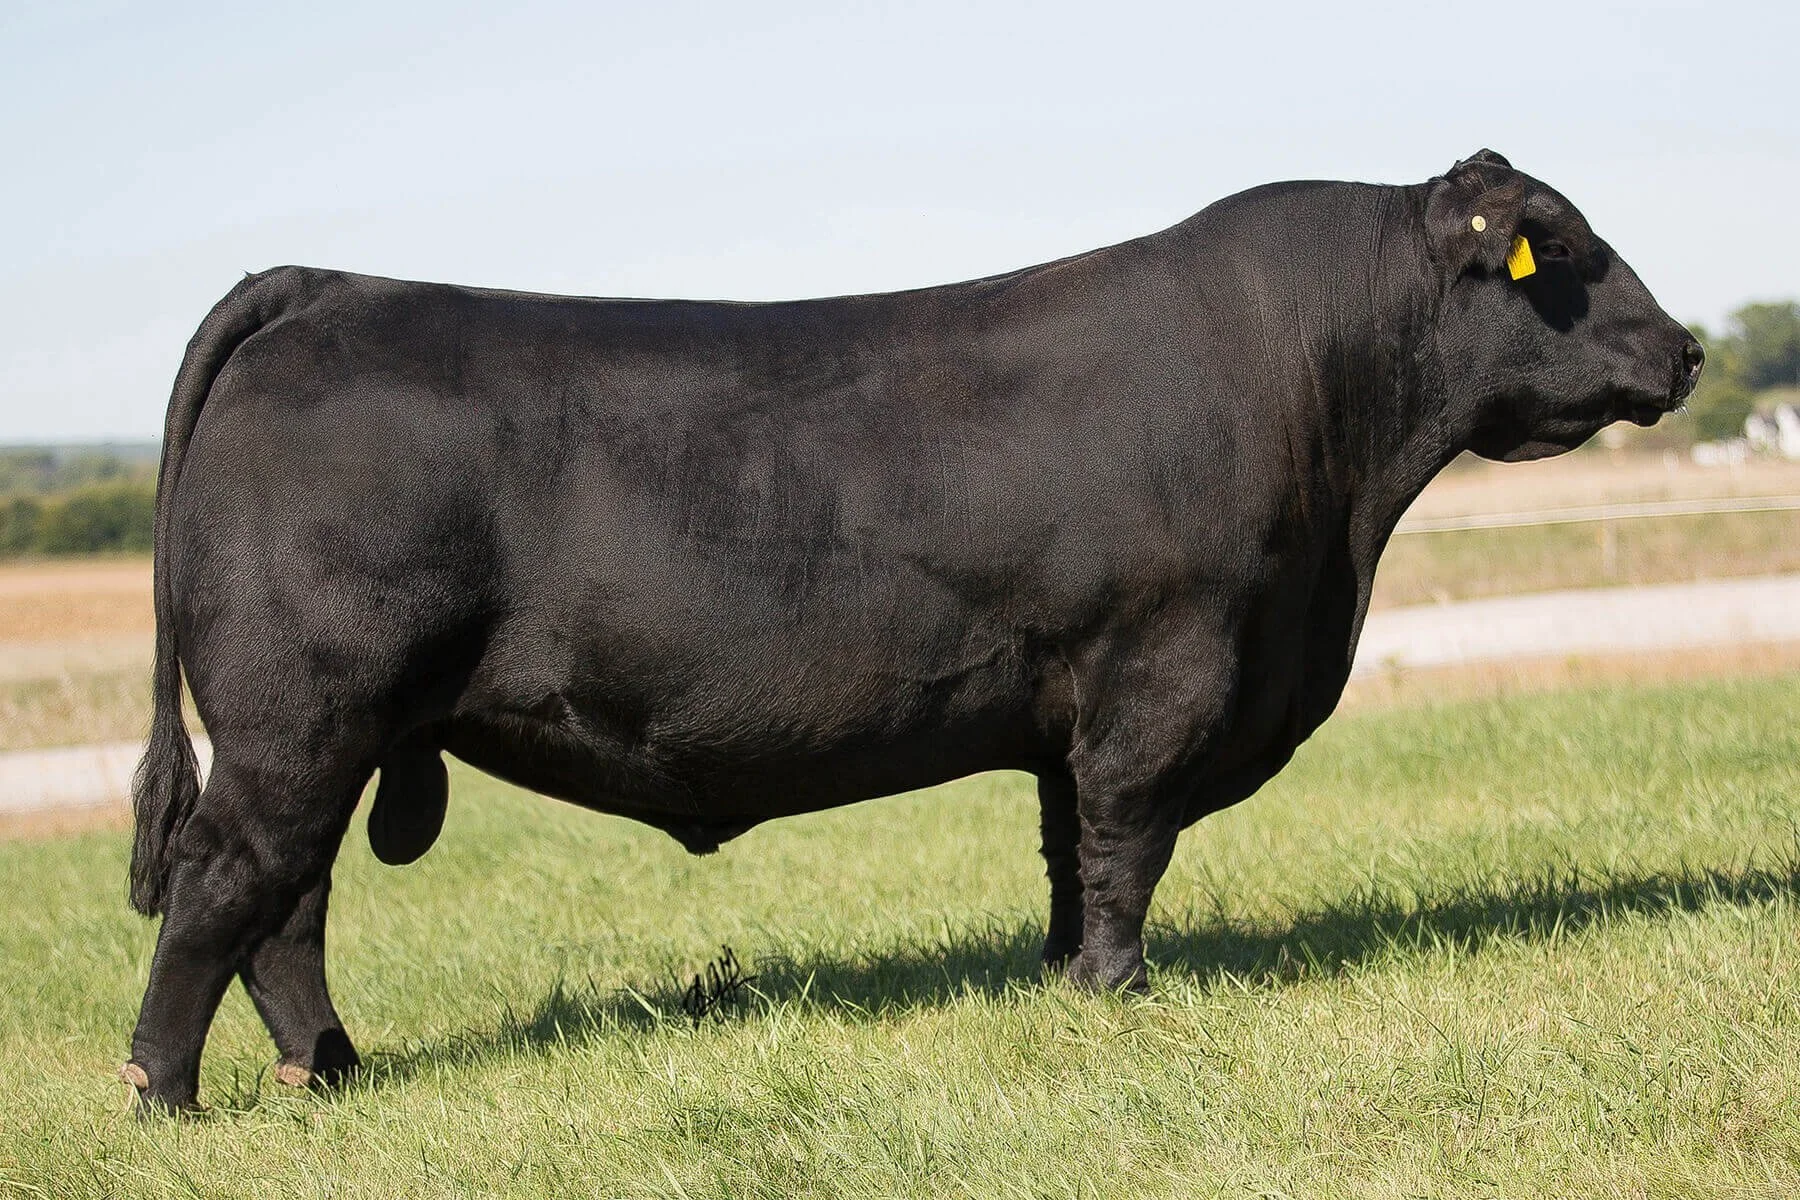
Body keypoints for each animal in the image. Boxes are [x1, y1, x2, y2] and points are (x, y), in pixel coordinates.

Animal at [120, 150, 1702, 1112]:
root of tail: (326, 287)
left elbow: (1068, 853)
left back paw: (330, 1072)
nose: (1687, 348)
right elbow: (1128, 845)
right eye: (1564, 247)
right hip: (299, 714)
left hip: (329, 729)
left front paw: (1065, 986)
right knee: (225, 883)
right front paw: (1122, 997)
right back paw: (165, 1094)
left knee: (287, 904)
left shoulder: (1071, 702)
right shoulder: (1163, 674)